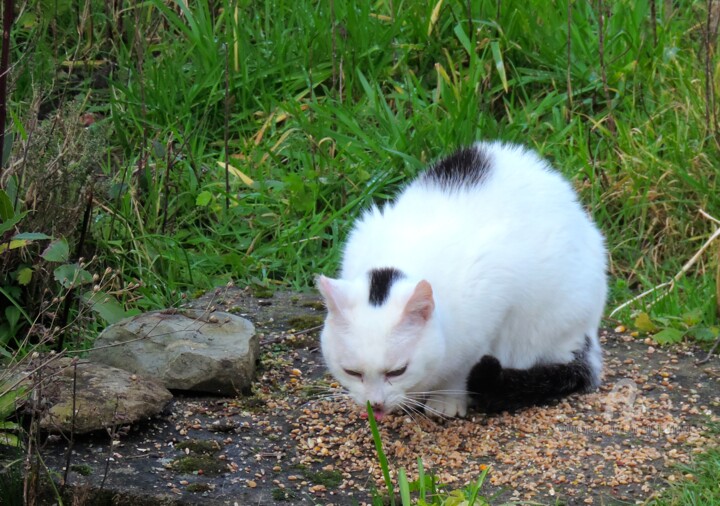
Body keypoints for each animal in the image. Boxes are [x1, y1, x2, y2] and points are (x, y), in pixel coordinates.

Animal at [318, 142, 604, 420]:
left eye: (398, 371)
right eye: (352, 372)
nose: (375, 403)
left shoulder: (494, 302)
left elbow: (464, 364)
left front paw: (446, 399)